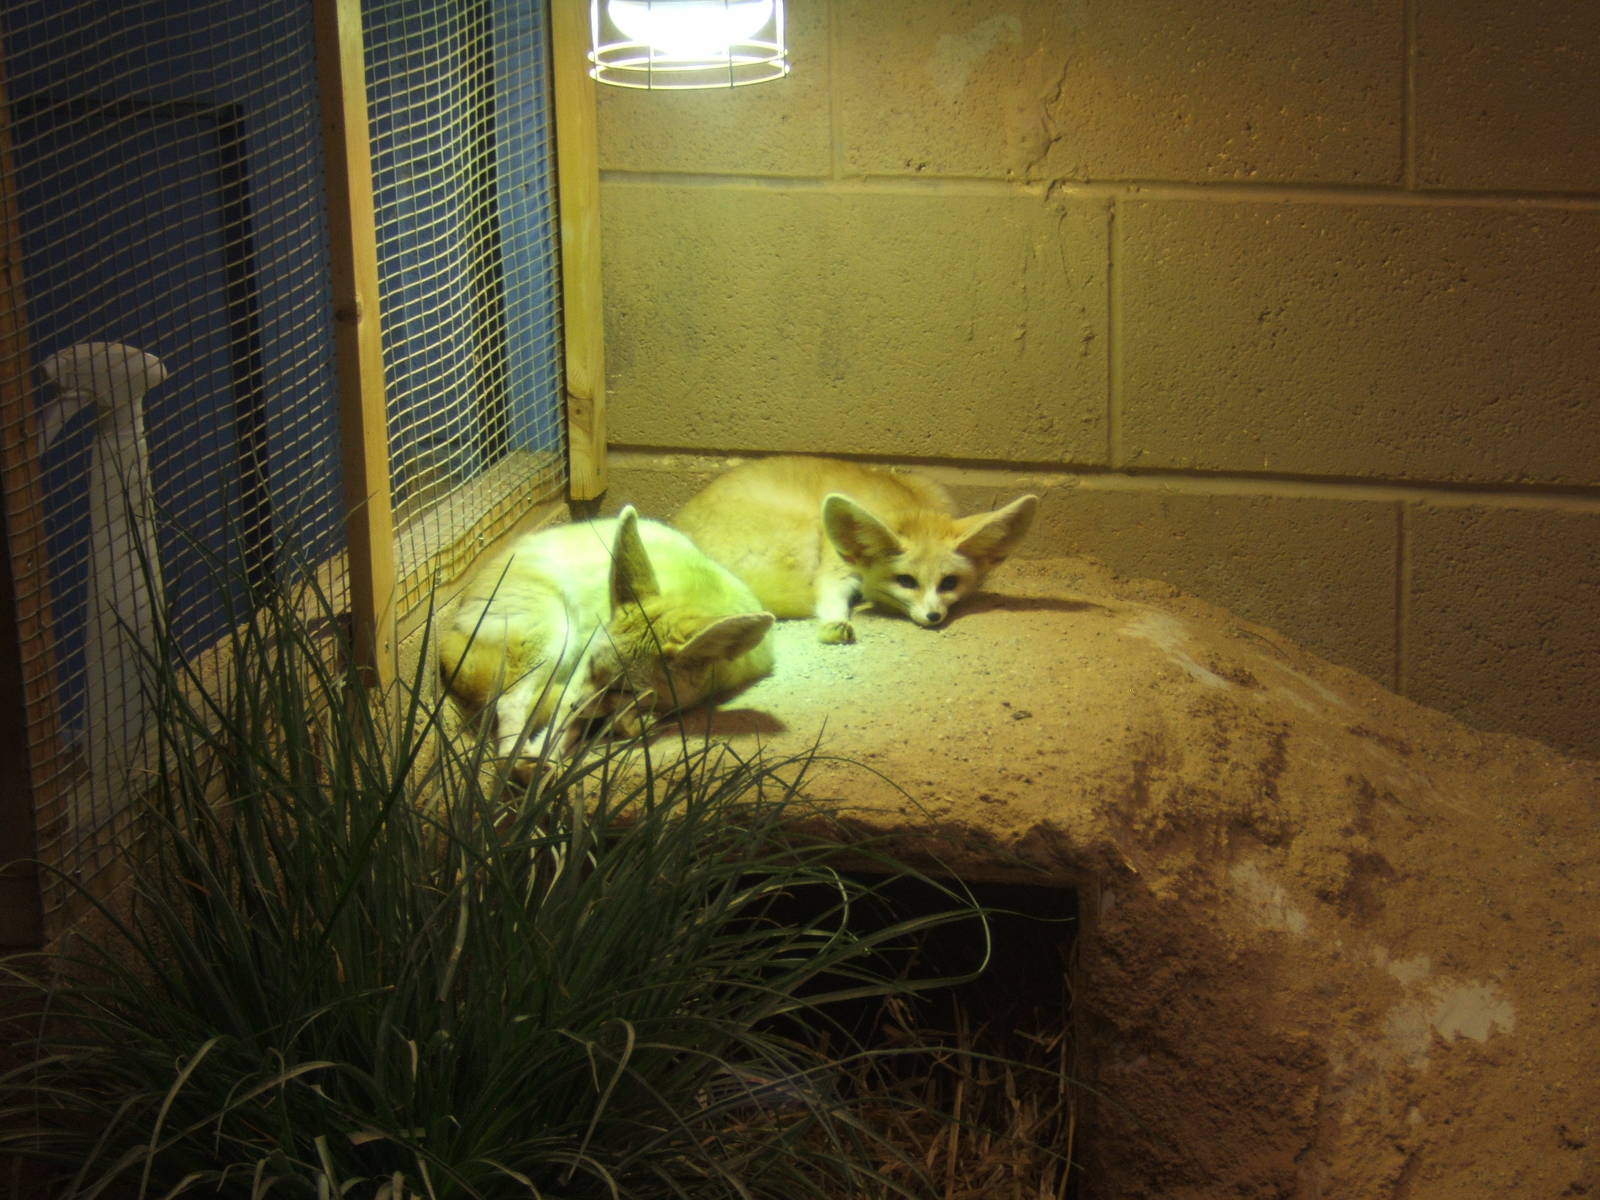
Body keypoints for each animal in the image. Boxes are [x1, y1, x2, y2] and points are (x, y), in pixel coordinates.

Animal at [437, 505, 775, 758]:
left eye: (624, 690)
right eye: (590, 666)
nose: (576, 706)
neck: (697, 592)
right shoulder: (581, 666)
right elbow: (561, 719)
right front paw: (545, 756)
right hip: (556, 636)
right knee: (509, 702)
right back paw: (517, 756)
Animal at [674, 456, 1038, 645]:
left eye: (949, 583)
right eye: (906, 581)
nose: (934, 617)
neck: (909, 505)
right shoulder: (835, 563)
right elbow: (828, 595)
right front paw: (834, 622)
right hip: (805, 529)